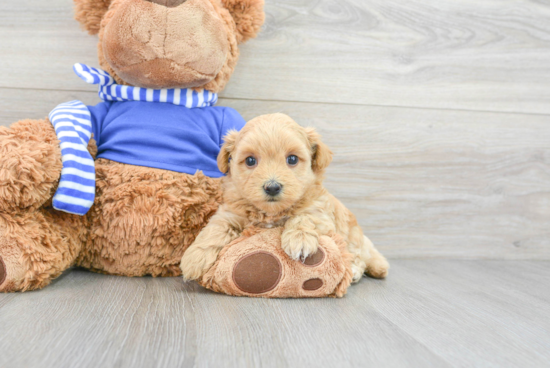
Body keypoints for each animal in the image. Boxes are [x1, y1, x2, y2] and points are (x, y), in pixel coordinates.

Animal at [183, 113, 390, 284]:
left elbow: (304, 215)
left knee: (359, 257)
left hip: (352, 236)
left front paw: (300, 239)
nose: (272, 187)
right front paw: (194, 258)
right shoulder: (230, 213)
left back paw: (354, 270)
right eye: (250, 160)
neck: (271, 213)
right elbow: (215, 229)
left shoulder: (321, 213)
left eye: (292, 159)